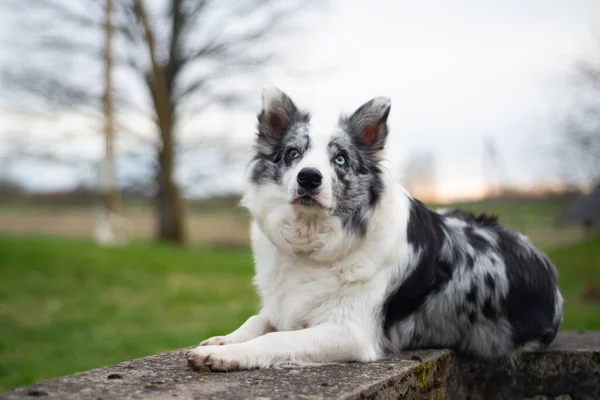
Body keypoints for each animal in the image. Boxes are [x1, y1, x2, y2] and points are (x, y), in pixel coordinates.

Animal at [185, 86, 564, 372]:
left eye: (340, 159)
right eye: (293, 154)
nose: (309, 178)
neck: (317, 240)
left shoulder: (351, 332)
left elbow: (276, 338)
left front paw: (224, 354)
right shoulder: (286, 304)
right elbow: (259, 319)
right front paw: (225, 339)